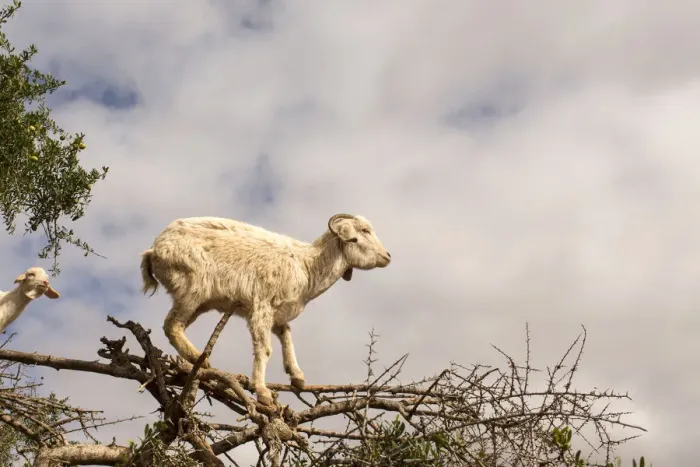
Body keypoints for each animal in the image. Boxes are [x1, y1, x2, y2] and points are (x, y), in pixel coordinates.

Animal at [140, 213, 391, 405]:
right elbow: (264, 349)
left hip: (200, 302)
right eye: (364, 231)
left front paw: (297, 376)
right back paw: (200, 359)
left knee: (175, 326)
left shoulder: (278, 313)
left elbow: (286, 335)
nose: (388, 256)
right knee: (172, 325)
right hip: (192, 289)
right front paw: (262, 392)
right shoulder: (261, 306)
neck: (306, 265)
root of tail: (153, 250)